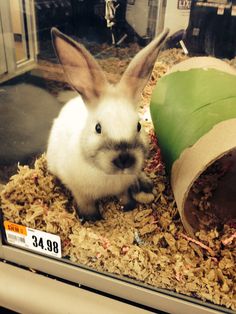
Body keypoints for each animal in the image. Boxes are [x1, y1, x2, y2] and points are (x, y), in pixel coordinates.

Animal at [47, 27, 169, 221]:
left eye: (138, 126)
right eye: (98, 128)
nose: (124, 159)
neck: (108, 177)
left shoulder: (123, 189)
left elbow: (124, 197)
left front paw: (128, 207)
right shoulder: (81, 193)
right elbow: (86, 205)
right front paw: (92, 219)